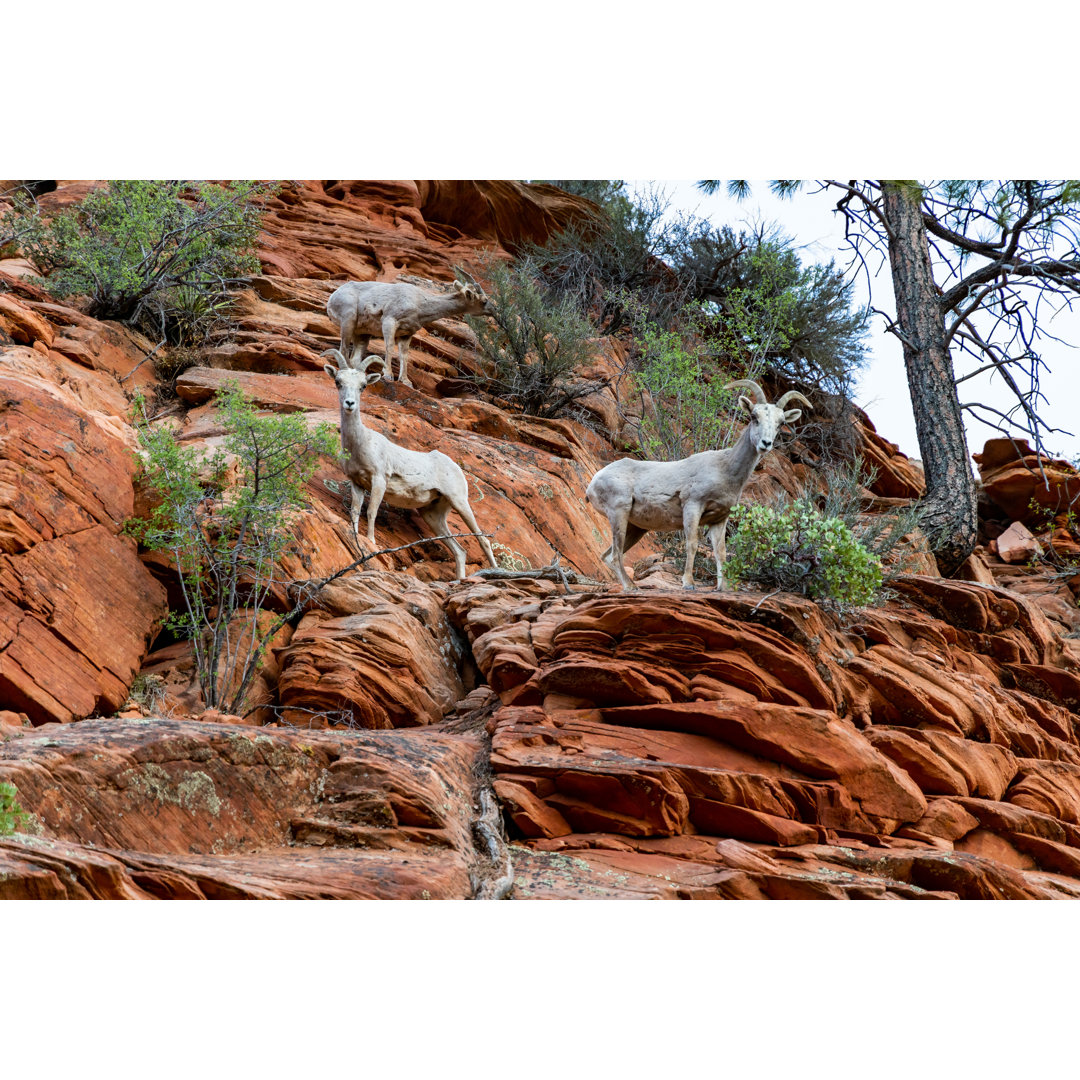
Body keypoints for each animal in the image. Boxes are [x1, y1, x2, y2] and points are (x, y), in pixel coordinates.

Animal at [321, 349, 498, 578]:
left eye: (363, 385)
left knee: (483, 540)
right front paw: (357, 536)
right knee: (460, 552)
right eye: (338, 382)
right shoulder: (357, 484)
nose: (350, 404)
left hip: (460, 502)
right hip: (433, 515)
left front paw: (371, 541)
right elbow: (354, 512)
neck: (360, 443)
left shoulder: (379, 480)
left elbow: (371, 512)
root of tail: (455, 467)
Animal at [324, 267, 494, 390]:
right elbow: (389, 347)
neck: (419, 303)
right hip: (348, 320)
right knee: (343, 349)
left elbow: (404, 355)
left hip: (362, 334)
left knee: (355, 357)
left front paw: (406, 381)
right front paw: (388, 375)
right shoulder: (389, 321)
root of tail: (333, 297)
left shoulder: (406, 334)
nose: (494, 310)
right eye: (484, 301)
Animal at [583, 382, 812, 591]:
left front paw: (723, 588)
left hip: (636, 527)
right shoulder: (693, 506)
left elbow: (721, 552)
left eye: (780, 422)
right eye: (754, 417)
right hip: (618, 513)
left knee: (608, 555)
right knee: (615, 556)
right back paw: (631, 588)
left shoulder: (719, 519)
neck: (725, 470)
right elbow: (692, 544)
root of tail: (593, 482)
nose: (766, 443)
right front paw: (688, 584)